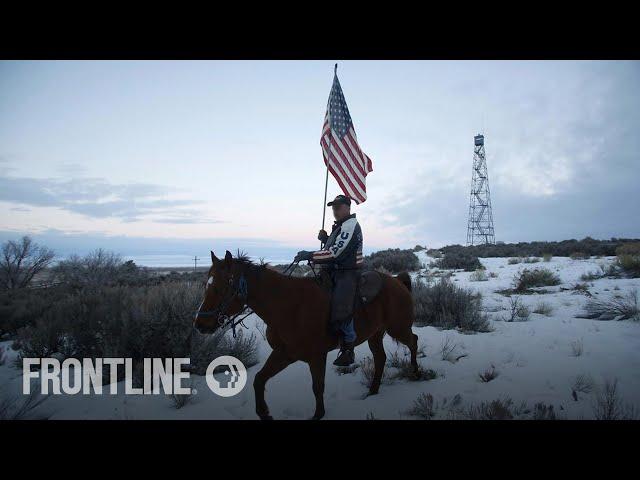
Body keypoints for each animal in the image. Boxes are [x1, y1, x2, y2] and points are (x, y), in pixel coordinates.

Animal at [192, 249, 418, 418]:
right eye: (206, 285)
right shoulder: (284, 354)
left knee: (413, 342)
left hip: (398, 327)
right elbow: (259, 379)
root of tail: (398, 281)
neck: (289, 306)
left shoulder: (316, 356)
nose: (200, 323)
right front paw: (264, 412)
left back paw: (415, 372)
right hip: (376, 334)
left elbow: (317, 387)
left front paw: (318, 415)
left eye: (222, 287)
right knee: (380, 358)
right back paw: (372, 390)